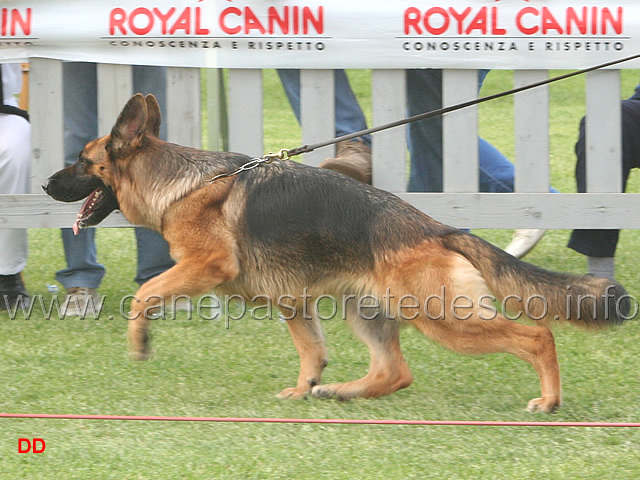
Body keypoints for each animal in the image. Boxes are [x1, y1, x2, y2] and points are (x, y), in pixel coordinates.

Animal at [43, 94, 632, 412]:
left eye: (82, 161)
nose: (47, 184)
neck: (182, 182)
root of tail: (437, 228)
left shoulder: (204, 266)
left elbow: (145, 293)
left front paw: (140, 342)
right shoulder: (294, 303)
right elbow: (311, 352)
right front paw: (306, 387)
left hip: (445, 319)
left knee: (536, 335)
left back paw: (549, 400)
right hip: (363, 310)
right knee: (395, 372)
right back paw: (340, 393)